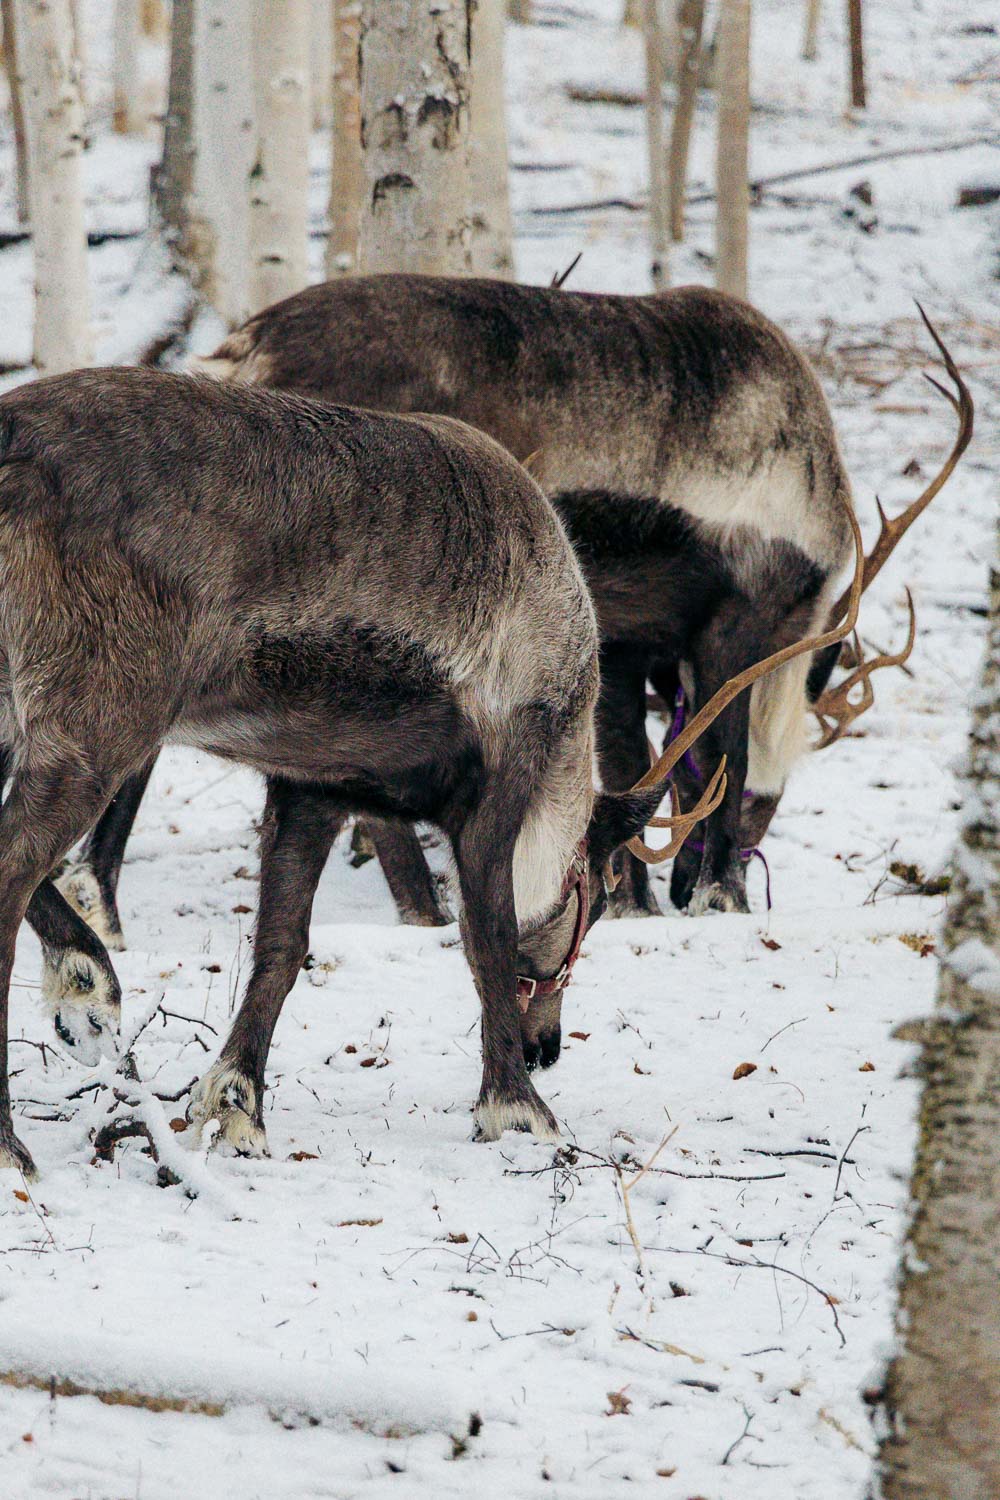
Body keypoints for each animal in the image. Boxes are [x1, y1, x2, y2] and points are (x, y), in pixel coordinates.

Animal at [0, 367, 862, 1178]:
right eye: (597, 892)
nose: (549, 1046)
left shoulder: (313, 781)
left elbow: (282, 945)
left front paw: (238, 1104)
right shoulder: (500, 780)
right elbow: (486, 939)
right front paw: (519, 1109)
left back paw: (88, 985)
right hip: (102, 714)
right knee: (11, 869)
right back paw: (22, 1130)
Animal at [54, 283, 971, 950]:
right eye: (768, 810)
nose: (689, 881)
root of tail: (239, 352)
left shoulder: (629, 640)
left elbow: (636, 759)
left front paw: (636, 896)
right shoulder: (730, 623)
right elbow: (720, 753)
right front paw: (719, 899)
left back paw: (106, 902)